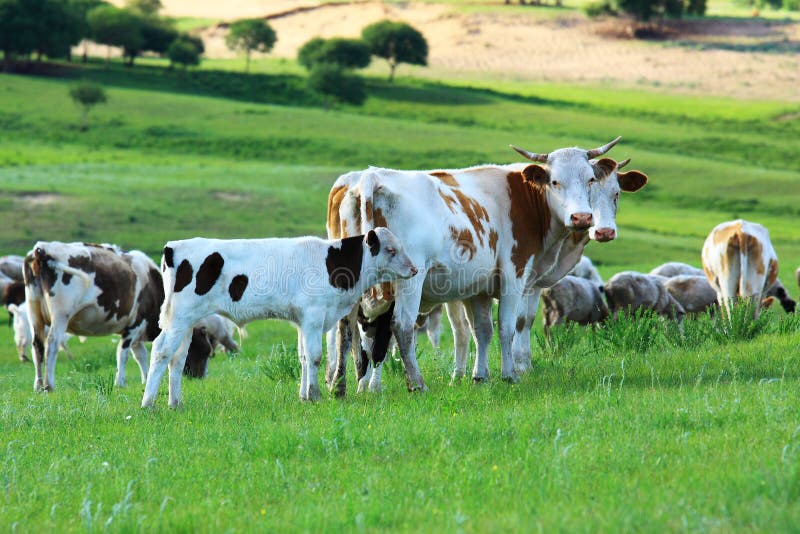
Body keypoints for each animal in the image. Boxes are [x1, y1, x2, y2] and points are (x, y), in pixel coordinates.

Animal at [23, 242, 165, 390]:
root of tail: (41, 249)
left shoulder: (134, 332)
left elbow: (140, 355)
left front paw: (145, 379)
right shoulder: (134, 325)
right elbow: (123, 353)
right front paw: (120, 382)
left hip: (34, 314)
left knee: (37, 346)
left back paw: (38, 385)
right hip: (60, 314)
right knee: (52, 343)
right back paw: (49, 385)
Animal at [141, 228, 418, 408]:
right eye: (391, 249)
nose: (415, 269)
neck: (331, 262)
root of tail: (173, 247)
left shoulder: (302, 320)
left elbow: (304, 357)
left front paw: (304, 396)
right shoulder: (313, 316)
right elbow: (315, 357)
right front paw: (315, 395)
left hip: (187, 322)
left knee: (177, 359)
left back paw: (175, 402)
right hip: (179, 317)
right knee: (161, 351)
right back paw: (148, 403)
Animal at [324, 137, 644, 394]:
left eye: (590, 179)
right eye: (555, 182)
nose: (583, 218)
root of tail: (369, 176)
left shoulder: (477, 287)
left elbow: (481, 331)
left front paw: (479, 376)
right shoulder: (515, 275)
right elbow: (508, 326)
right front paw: (510, 374)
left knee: (345, 326)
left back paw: (340, 385)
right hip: (408, 279)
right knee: (400, 326)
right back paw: (414, 383)